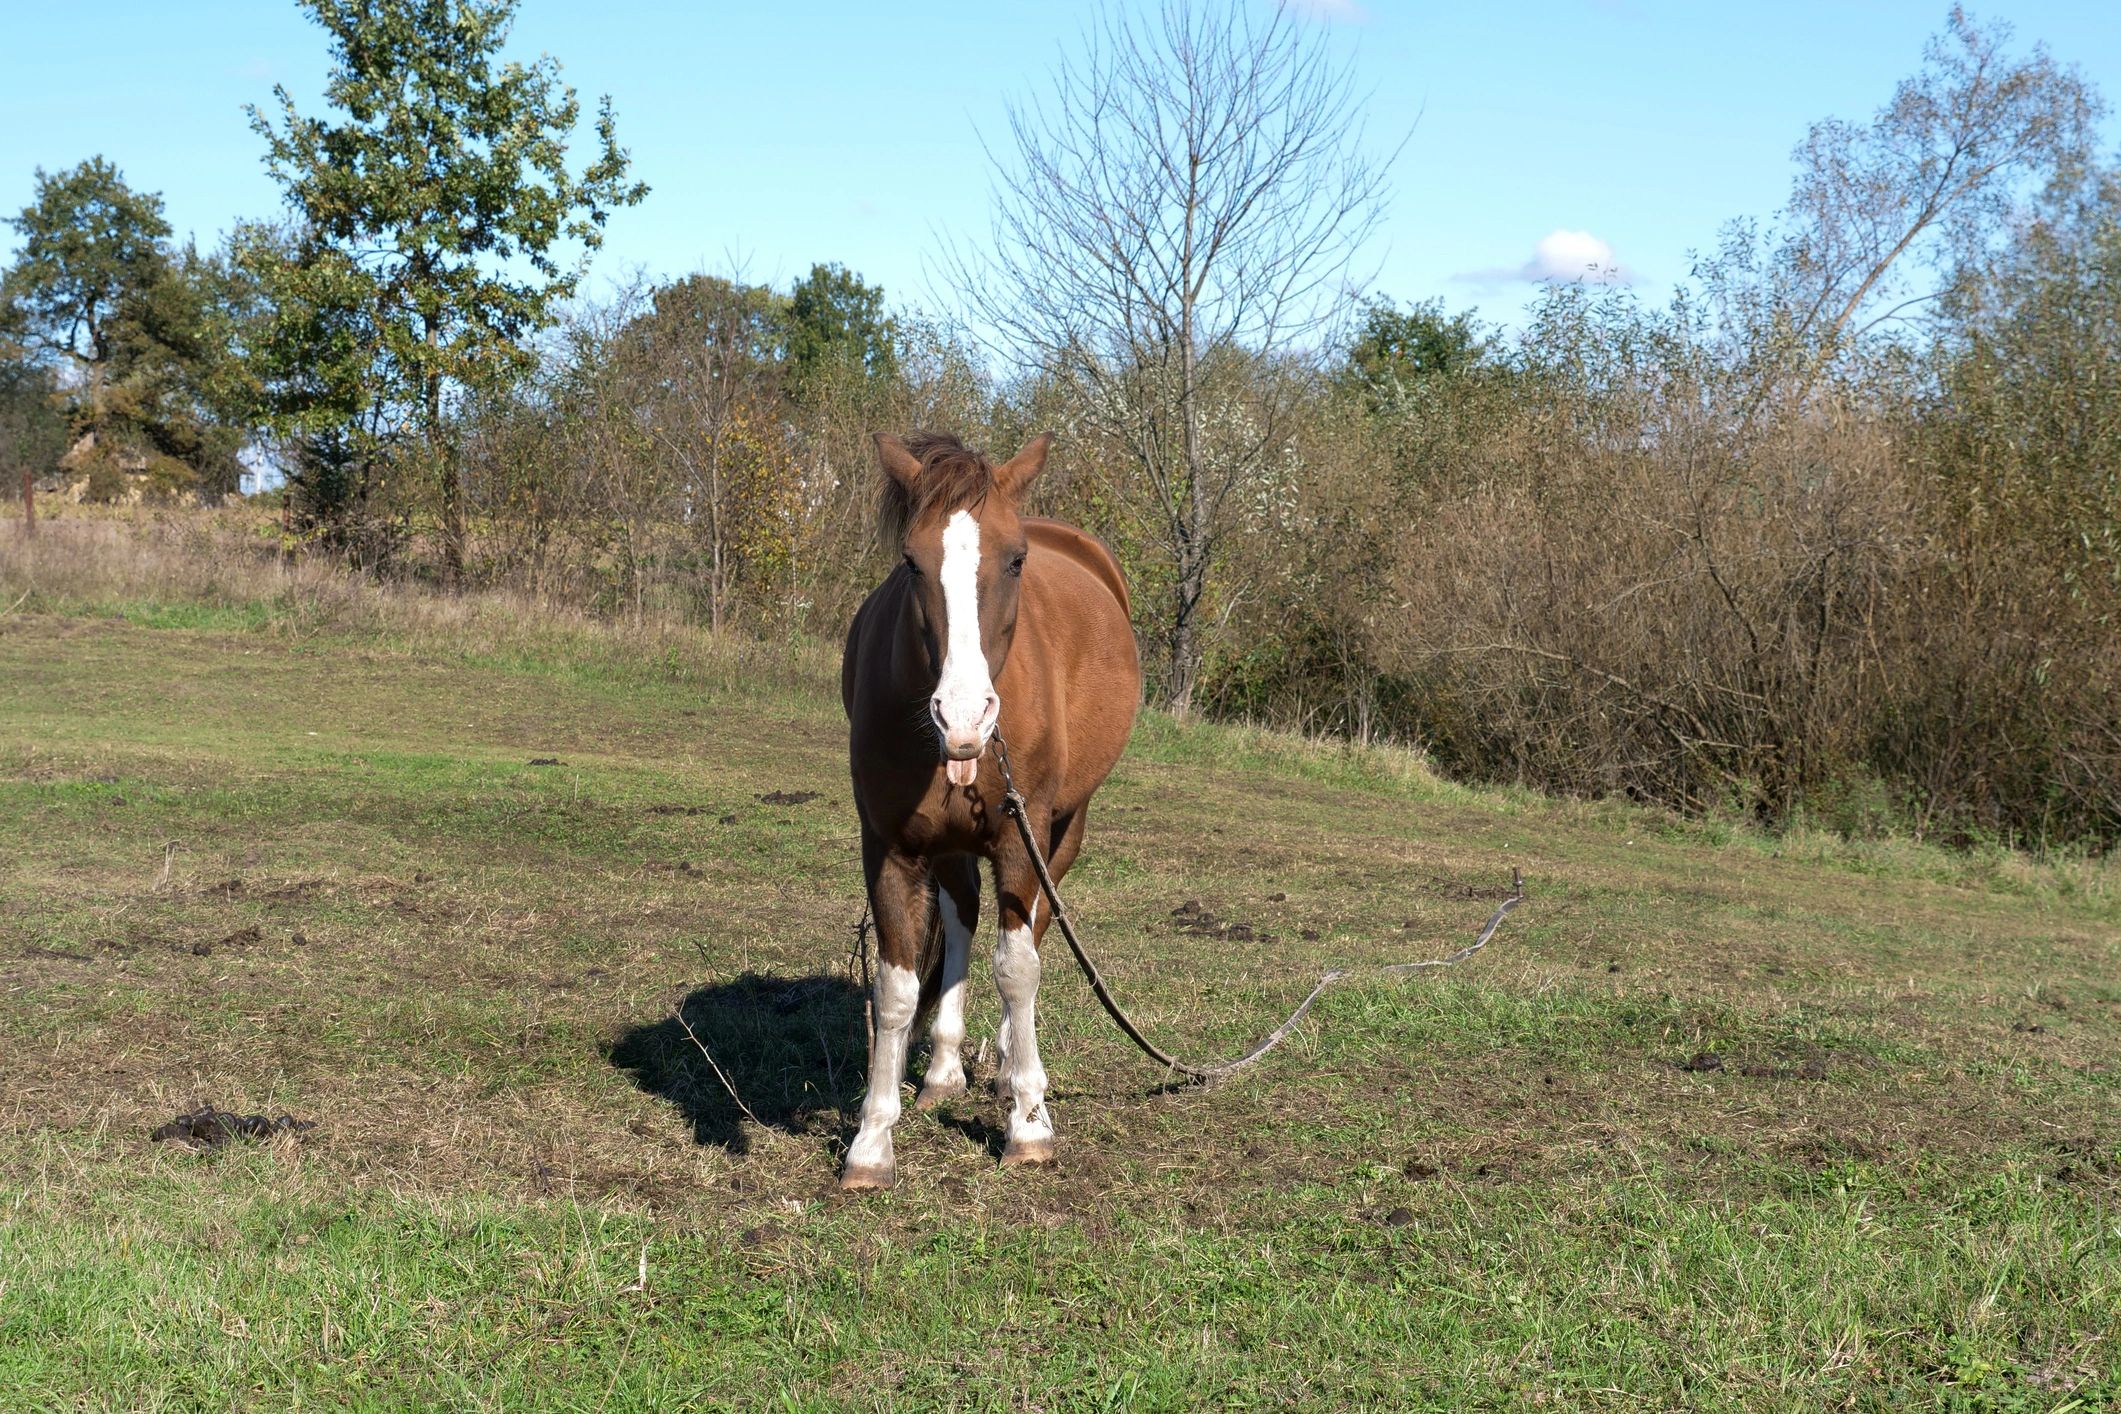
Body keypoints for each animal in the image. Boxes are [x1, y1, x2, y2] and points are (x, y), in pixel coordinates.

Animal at [838, 431, 1141, 1189]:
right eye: (910, 560)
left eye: (1015, 559)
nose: (965, 715)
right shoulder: (889, 847)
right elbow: (895, 989)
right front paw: (871, 1142)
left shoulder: (1016, 840)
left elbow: (1017, 969)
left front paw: (1028, 1124)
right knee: (964, 917)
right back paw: (946, 1068)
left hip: (1061, 828)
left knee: (1030, 931)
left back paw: (1011, 1071)